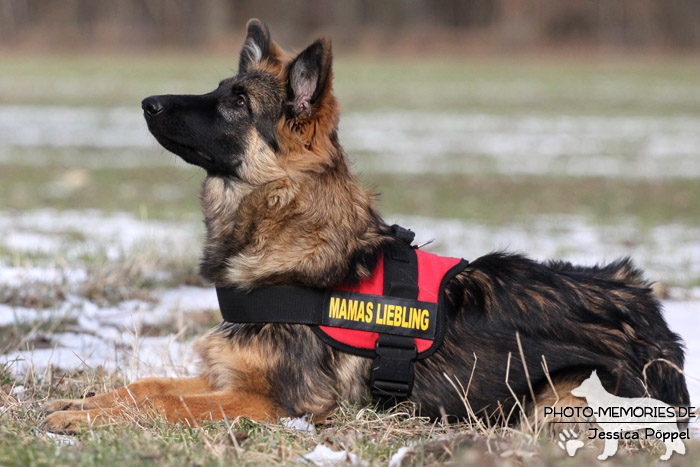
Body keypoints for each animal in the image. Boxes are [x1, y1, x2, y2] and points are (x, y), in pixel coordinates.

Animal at [42, 18, 688, 436]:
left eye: (236, 104)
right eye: (219, 90)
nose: (147, 102)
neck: (288, 224)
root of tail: (657, 325)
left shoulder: (281, 403)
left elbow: (171, 406)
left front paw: (88, 417)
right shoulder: (232, 376)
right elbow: (149, 387)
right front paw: (82, 402)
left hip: (562, 396)